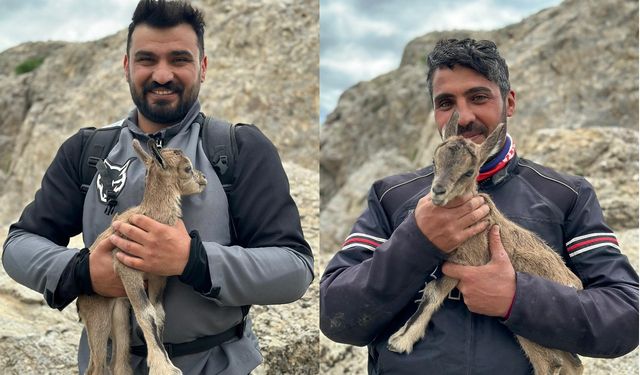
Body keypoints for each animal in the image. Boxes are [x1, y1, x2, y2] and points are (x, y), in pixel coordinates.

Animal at [76, 140, 208, 374]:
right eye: (187, 168)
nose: (203, 178)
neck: (151, 215)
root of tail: (79, 302)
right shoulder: (127, 268)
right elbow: (146, 313)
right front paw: (163, 368)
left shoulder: (157, 276)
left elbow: (158, 314)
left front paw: (165, 363)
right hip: (98, 315)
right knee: (96, 366)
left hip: (119, 313)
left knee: (118, 363)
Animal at [384, 112, 584, 375]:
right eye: (435, 161)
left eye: (469, 172)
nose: (438, 191)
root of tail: (575, 287)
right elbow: (432, 292)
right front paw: (400, 340)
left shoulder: (466, 264)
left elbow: (433, 290)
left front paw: (400, 340)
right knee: (573, 363)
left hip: (528, 323)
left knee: (551, 362)